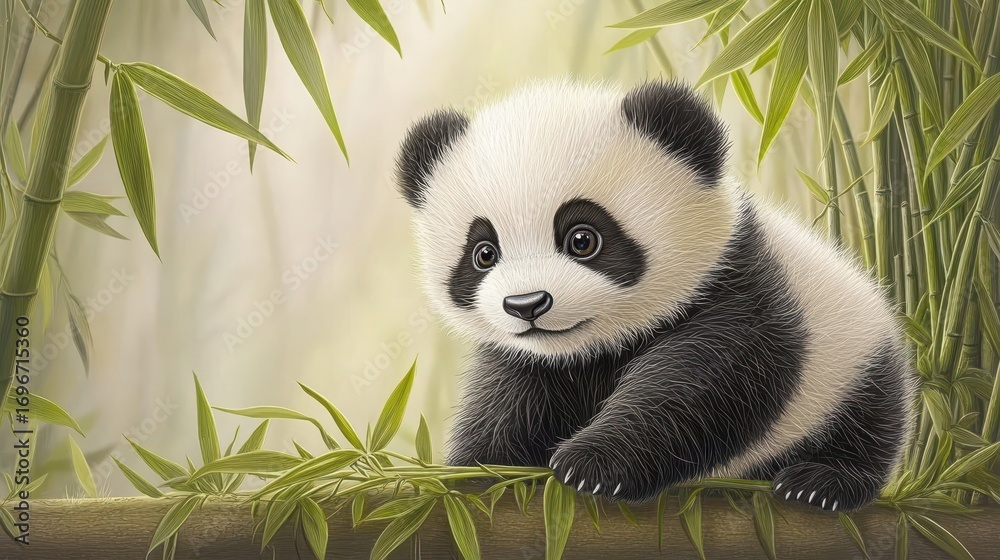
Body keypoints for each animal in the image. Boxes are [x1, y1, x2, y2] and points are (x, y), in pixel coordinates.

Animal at [394, 80, 915, 512]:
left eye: (583, 239)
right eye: (484, 253)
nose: (527, 305)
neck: (592, 348)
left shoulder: (736, 290)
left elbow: (704, 385)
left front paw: (591, 464)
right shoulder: (531, 360)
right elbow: (505, 402)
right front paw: (476, 471)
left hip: (852, 357)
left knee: (867, 423)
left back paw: (821, 482)